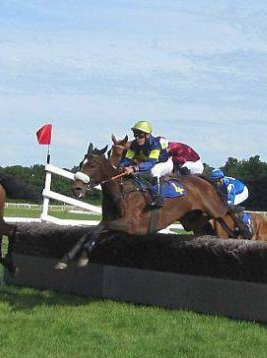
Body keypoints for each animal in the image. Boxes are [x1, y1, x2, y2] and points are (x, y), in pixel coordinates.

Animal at [56, 143, 232, 268]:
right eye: (81, 163)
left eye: (93, 165)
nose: (77, 188)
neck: (122, 191)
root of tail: (201, 178)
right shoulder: (111, 223)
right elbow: (91, 232)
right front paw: (68, 258)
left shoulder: (133, 225)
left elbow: (96, 230)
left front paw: (81, 257)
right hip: (193, 220)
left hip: (215, 209)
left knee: (229, 213)